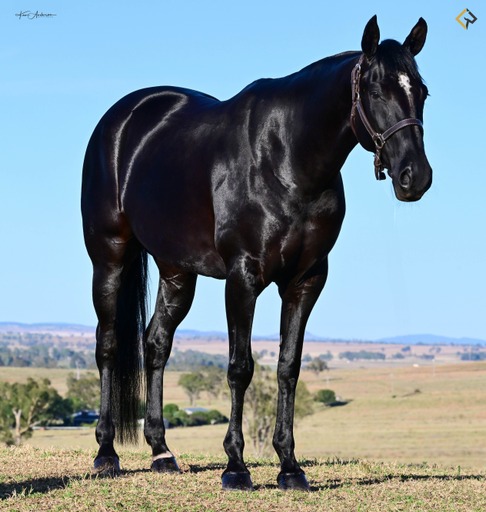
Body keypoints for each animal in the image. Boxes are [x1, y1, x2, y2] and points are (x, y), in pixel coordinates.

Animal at [81, 15, 432, 491]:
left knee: (156, 344)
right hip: (109, 257)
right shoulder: (242, 277)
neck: (287, 160)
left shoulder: (306, 280)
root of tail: (121, 119)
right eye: (375, 91)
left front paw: (290, 467)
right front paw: (235, 466)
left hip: (177, 271)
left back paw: (162, 451)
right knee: (109, 344)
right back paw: (106, 453)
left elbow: (288, 367)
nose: (416, 177)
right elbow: (240, 366)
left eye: (422, 91)